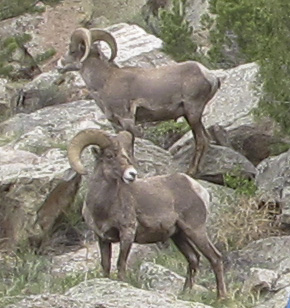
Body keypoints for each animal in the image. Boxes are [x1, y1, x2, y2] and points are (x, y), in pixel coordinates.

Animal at [59, 28, 222, 176]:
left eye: (72, 51)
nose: (59, 65)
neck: (105, 81)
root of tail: (210, 76)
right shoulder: (117, 125)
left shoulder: (127, 120)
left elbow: (130, 149)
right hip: (191, 116)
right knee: (206, 139)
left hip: (193, 113)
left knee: (201, 140)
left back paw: (191, 171)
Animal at [67, 128, 227, 298]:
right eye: (109, 156)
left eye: (125, 155)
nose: (132, 174)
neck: (103, 206)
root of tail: (198, 189)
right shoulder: (102, 238)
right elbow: (106, 265)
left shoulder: (127, 233)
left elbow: (120, 264)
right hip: (179, 235)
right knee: (193, 258)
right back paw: (183, 294)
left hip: (195, 230)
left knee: (215, 258)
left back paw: (221, 297)